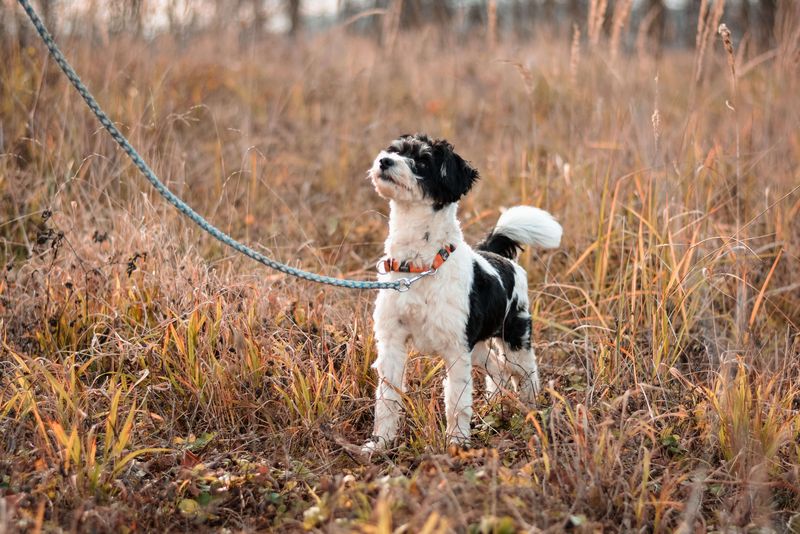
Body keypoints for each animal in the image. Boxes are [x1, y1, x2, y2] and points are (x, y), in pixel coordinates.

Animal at [362, 134, 564, 452]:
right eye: (394, 150)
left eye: (423, 161)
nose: (384, 161)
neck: (418, 265)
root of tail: (496, 255)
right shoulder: (392, 341)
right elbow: (387, 398)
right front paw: (381, 442)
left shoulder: (456, 350)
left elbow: (457, 403)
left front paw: (456, 443)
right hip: (478, 346)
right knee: (498, 369)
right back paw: (495, 405)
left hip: (515, 338)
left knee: (526, 373)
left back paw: (529, 410)